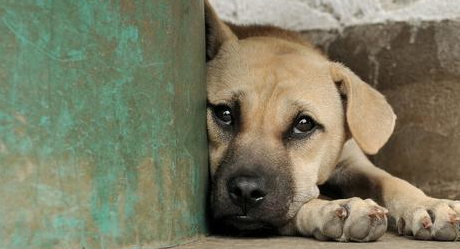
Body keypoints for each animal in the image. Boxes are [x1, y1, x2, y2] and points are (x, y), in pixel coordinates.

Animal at [206, 0, 460, 241]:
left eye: (304, 124)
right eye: (224, 113)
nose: (245, 191)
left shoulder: (352, 162)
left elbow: (391, 181)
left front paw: (429, 204)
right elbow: (300, 204)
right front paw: (333, 209)